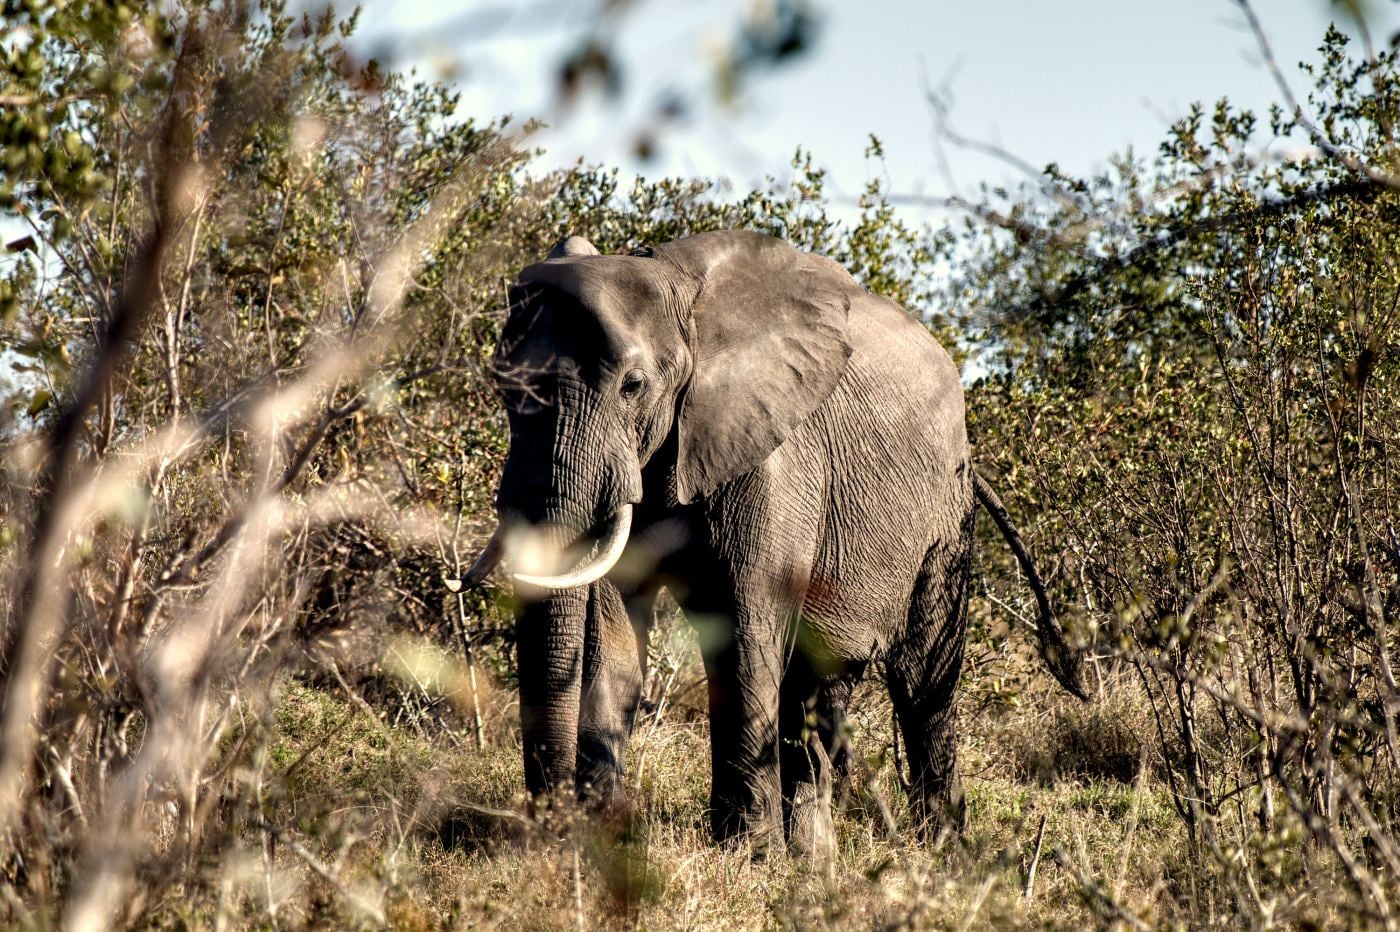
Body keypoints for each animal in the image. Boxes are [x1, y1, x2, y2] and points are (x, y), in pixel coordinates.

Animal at [466, 230, 1084, 856]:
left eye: (632, 386)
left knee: (921, 677)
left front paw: (747, 853)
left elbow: (746, 623)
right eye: (499, 387)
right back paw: (815, 858)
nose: (550, 829)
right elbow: (613, 629)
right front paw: (608, 837)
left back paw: (942, 850)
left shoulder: (774, 455)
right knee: (818, 686)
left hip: (945, 515)